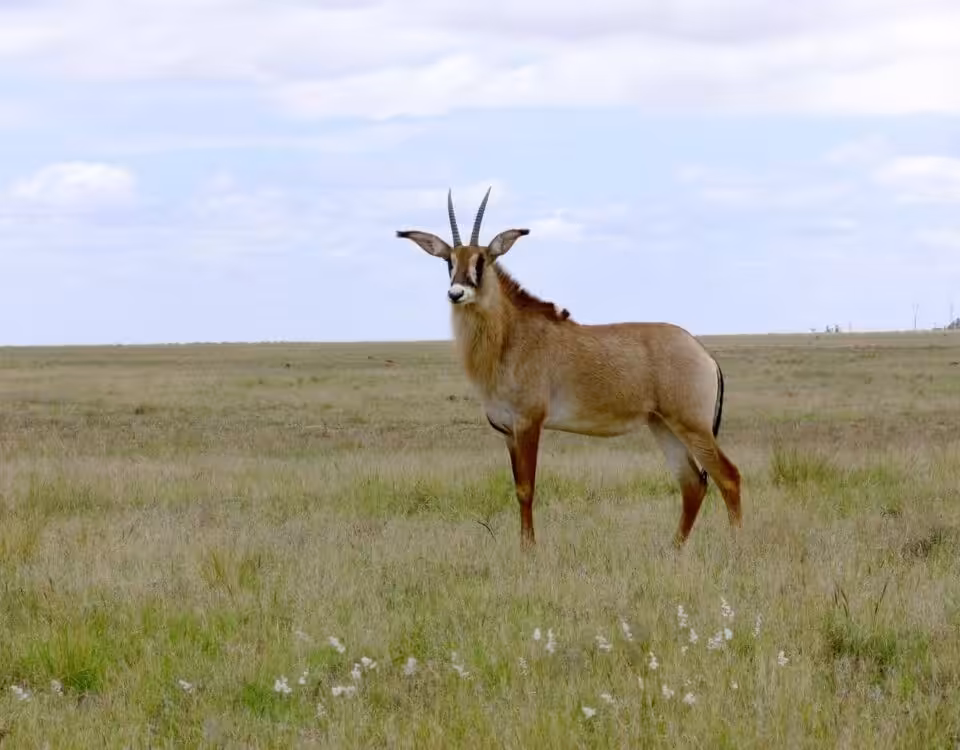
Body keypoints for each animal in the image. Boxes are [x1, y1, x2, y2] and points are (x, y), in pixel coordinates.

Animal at [396, 188, 742, 547]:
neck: (510, 336)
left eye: (482, 260)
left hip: (692, 425)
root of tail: (703, 353)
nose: (456, 293)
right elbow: (517, 488)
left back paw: (735, 547)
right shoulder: (508, 432)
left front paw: (529, 550)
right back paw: (673, 550)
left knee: (728, 476)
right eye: (449, 260)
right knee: (693, 483)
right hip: (663, 426)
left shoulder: (529, 424)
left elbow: (526, 490)